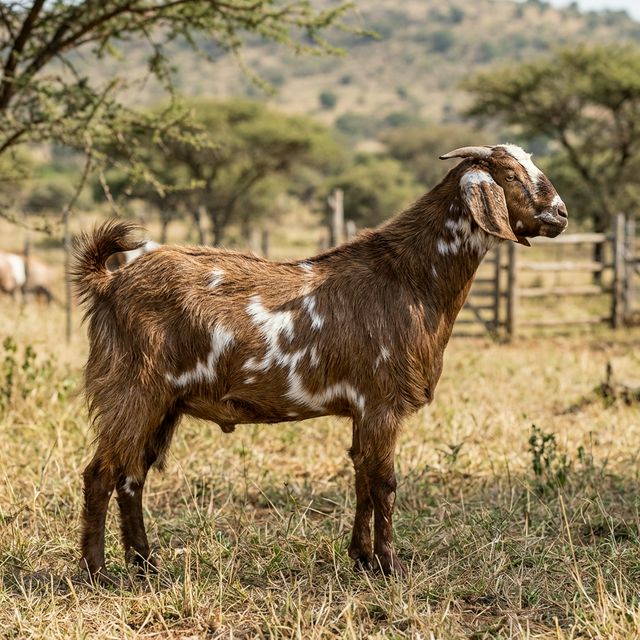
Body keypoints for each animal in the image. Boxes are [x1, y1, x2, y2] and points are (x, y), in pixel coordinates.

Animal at [73, 144, 568, 582]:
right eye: (511, 175)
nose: (561, 214)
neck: (409, 279)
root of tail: (110, 281)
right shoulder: (382, 403)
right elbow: (384, 482)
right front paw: (390, 566)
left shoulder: (364, 409)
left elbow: (362, 478)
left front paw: (362, 559)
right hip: (132, 391)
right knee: (100, 474)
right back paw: (99, 573)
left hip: (164, 405)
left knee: (132, 476)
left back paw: (145, 564)